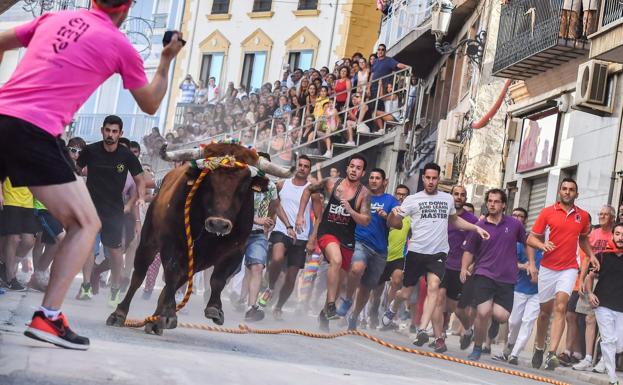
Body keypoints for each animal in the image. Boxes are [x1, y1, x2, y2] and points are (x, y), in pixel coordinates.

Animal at [106, 142, 294, 334]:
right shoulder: (171, 244)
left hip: (195, 262)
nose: (218, 224)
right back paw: (120, 314)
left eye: (243, 185)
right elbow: (171, 273)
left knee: (174, 283)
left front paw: (214, 309)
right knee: (139, 275)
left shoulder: (235, 250)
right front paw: (169, 313)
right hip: (148, 241)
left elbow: (217, 279)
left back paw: (155, 321)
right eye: (209, 180)